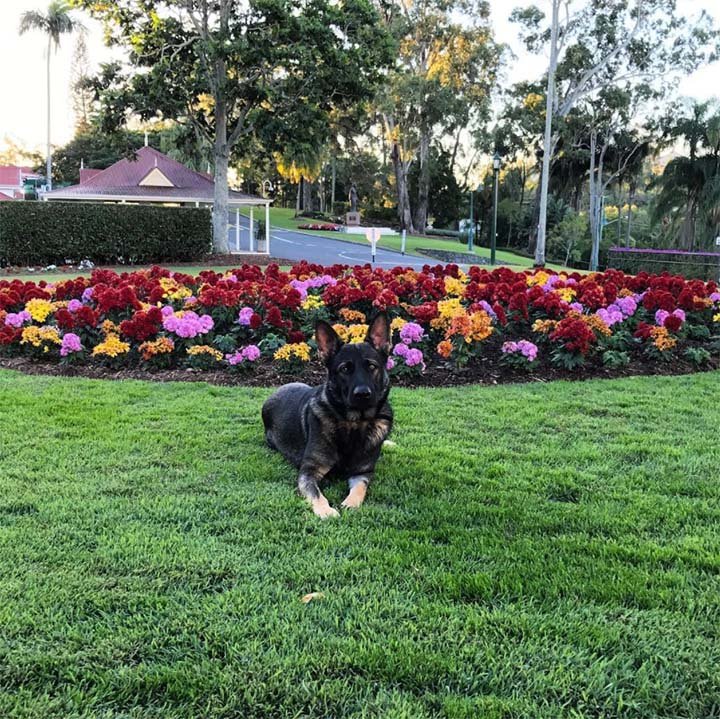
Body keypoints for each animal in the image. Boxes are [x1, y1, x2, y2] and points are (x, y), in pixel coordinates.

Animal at [260, 314, 394, 516]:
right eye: (344, 369)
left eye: (371, 366)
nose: (363, 394)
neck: (354, 424)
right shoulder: (308, 471)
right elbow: (316, 493)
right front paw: (326, 511)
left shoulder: (363, 472)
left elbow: (360, 489)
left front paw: (351, 504)